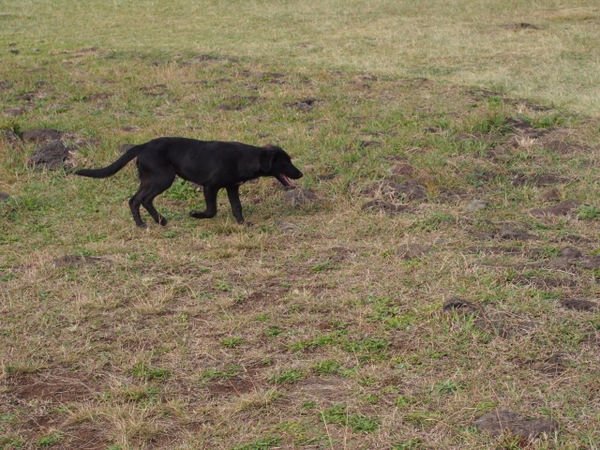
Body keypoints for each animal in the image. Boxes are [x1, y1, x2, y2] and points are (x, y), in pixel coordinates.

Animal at [76, 137, 300, 227]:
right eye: (286, 162)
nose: (300, 174)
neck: (244, 158)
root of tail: (142, 146)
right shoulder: (210, 186)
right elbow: (212, 210)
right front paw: (195, 214)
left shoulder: (231, 187)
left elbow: (237, 207)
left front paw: (243, 224)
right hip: (163, 178)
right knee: (144, 199)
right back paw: (157, 221)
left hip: (150, 179)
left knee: (135, 200)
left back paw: (147, 223)